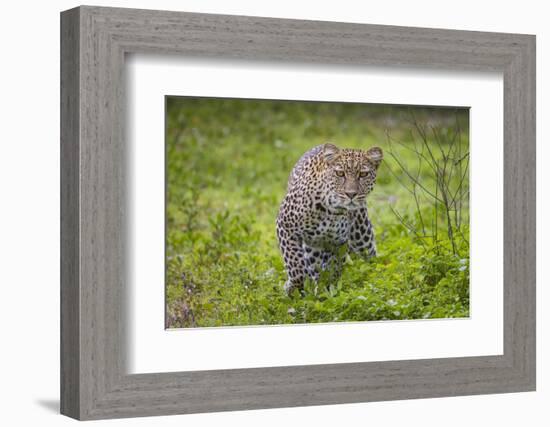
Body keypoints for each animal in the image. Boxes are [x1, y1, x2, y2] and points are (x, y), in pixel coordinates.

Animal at [276, 143, 384, 294]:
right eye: (340, 173)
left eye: (363, 174)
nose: (351, 194)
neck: (331, 210)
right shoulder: (285, 227)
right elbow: (295, 266)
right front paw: (292, 288)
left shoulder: (338, 243)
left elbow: (333, 270)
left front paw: (328, 291)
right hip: (312, 245)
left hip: (362, 237)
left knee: (369, 256)